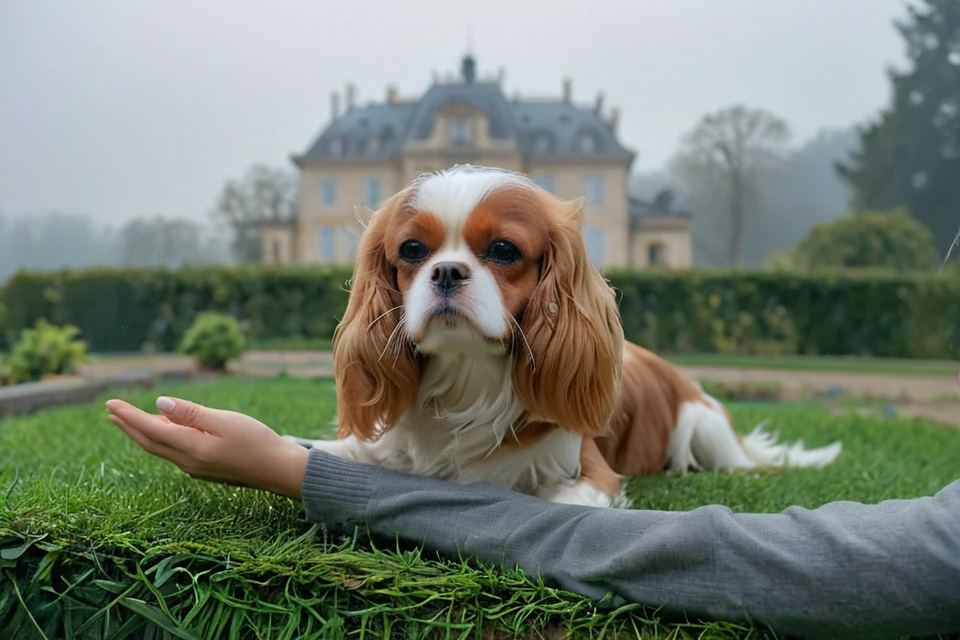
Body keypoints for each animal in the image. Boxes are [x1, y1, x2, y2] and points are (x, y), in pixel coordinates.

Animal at [284, 166, 840, 510]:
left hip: (705, 429)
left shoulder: (590, 475)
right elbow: (327, 451)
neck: (468, 380)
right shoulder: (377, 451)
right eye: (413, 250)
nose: (445, 271)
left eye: (504, 250)